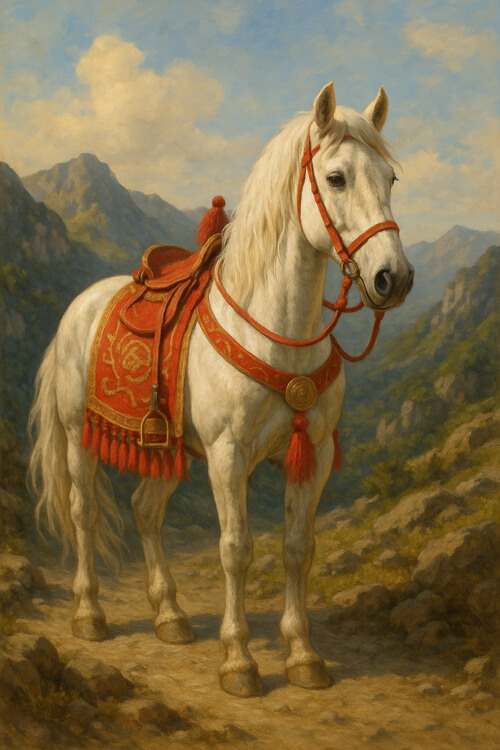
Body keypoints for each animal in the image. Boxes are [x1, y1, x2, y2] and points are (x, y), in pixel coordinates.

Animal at [28, 81, 414, 698]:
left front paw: (303, 655)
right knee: (84, 510)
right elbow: (236, 550)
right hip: (77, 437)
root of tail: (81, 305)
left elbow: (298, 548)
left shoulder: (312, 455)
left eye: (391, 178)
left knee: (144, 509)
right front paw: (238, 661)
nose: (392, 279)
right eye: (335, 178)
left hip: (172, 450)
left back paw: (170, 616)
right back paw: (89, 614)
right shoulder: (229, 457)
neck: (281, 332)